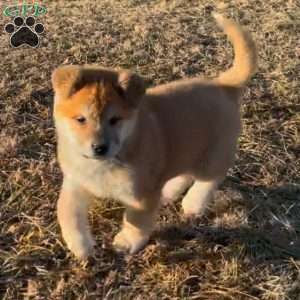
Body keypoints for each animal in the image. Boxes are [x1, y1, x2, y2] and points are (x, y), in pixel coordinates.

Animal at [52, 12, 258, 258]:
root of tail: (224, 84)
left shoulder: (142, 195)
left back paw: (193, 204)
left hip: (212, 155)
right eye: (80, 119)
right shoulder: (76, 183)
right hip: (186, 148)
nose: (99, 148)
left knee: (209, 179)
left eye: (115, 120)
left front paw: (126, 243)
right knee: (184, 173)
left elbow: (136, 222)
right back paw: (169, 193)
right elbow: (67, 213)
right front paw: (81, 246)